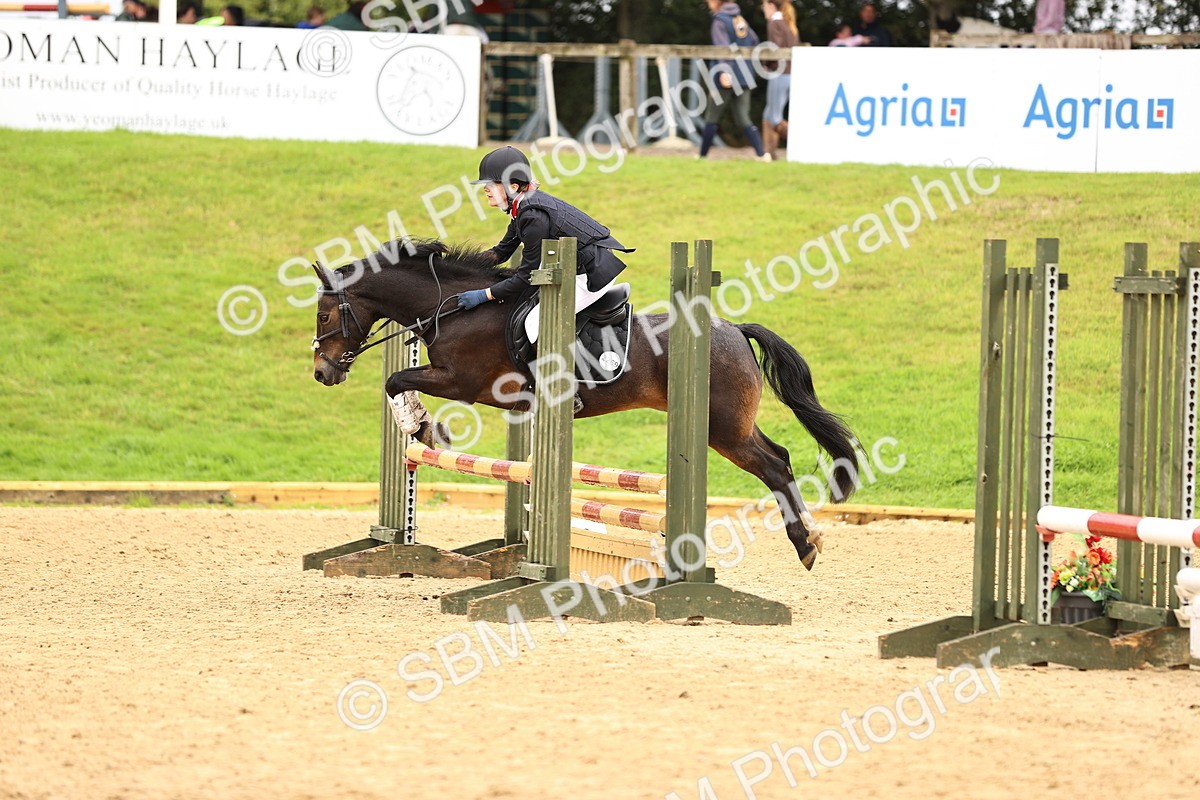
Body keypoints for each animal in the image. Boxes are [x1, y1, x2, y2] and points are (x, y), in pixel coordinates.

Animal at [310, 240, 859, 570]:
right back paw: (809, 539)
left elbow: (396, 380)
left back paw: (806, 545)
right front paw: (422, 428)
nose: (322, 372)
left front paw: (424, 428)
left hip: (721, 428)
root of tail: (734, 330)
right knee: (780, 457)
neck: (457, 307)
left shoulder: (463, 381)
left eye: (323, 314)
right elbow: (399, 381)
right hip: (730, 425)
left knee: (773, 466)